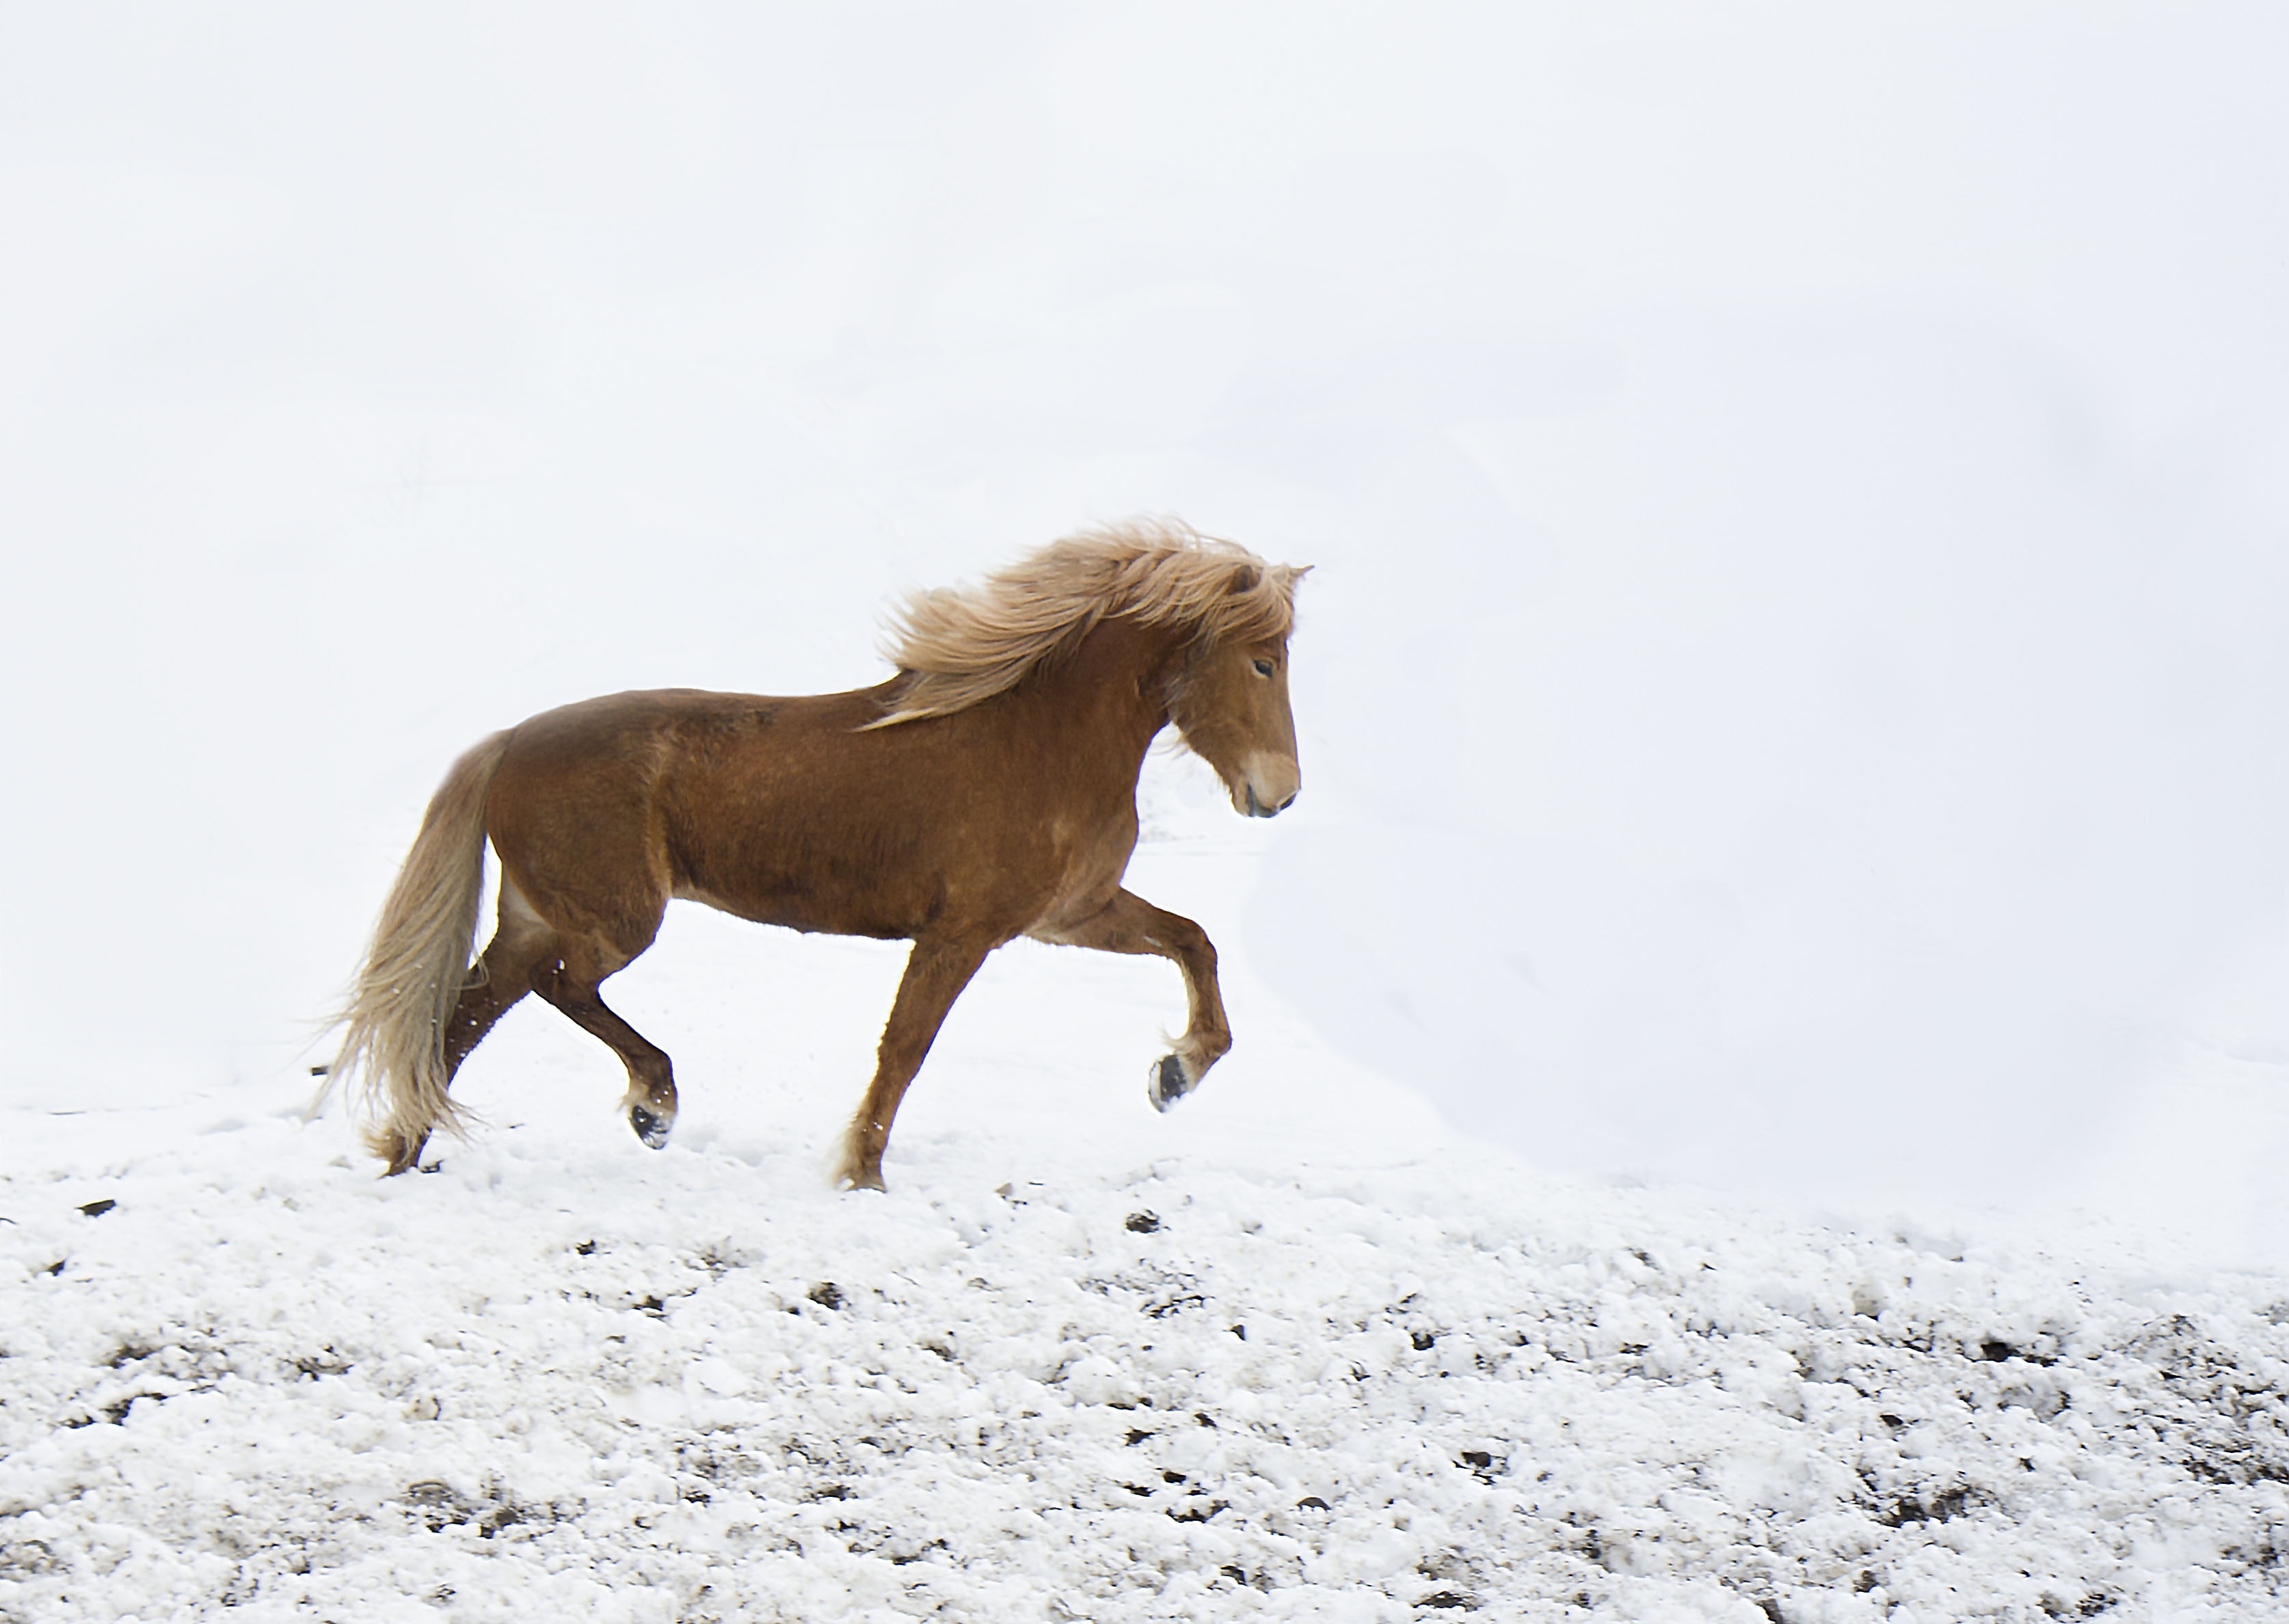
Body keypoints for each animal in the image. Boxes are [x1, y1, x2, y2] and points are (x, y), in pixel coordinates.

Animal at [332, 524, 1318, 1198]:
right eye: (1263, 663)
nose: (1278, 793)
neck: (1040, 740)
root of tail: (506, 743)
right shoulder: (964, 933)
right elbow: (905, 1049)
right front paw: (862, 1174)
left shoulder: (1069, 918)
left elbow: (1193, 940)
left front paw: (1175, 1075)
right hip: (612, 921)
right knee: (548, 991)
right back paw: (653, 1103)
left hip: (540, 915)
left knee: (464, 1013)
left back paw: (406, 1149)